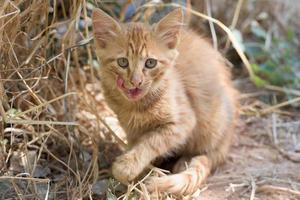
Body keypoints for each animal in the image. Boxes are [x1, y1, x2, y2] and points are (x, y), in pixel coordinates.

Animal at [92, 8, 238, 195]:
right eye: (123, 62)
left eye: (150, 63)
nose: (136, 81)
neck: (137, 106)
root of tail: (227, 138)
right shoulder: (130, 129)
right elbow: (138, 143)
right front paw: (139, 174)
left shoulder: (183, 122)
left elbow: (151, 141)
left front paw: (127, 166)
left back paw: (184, 162)